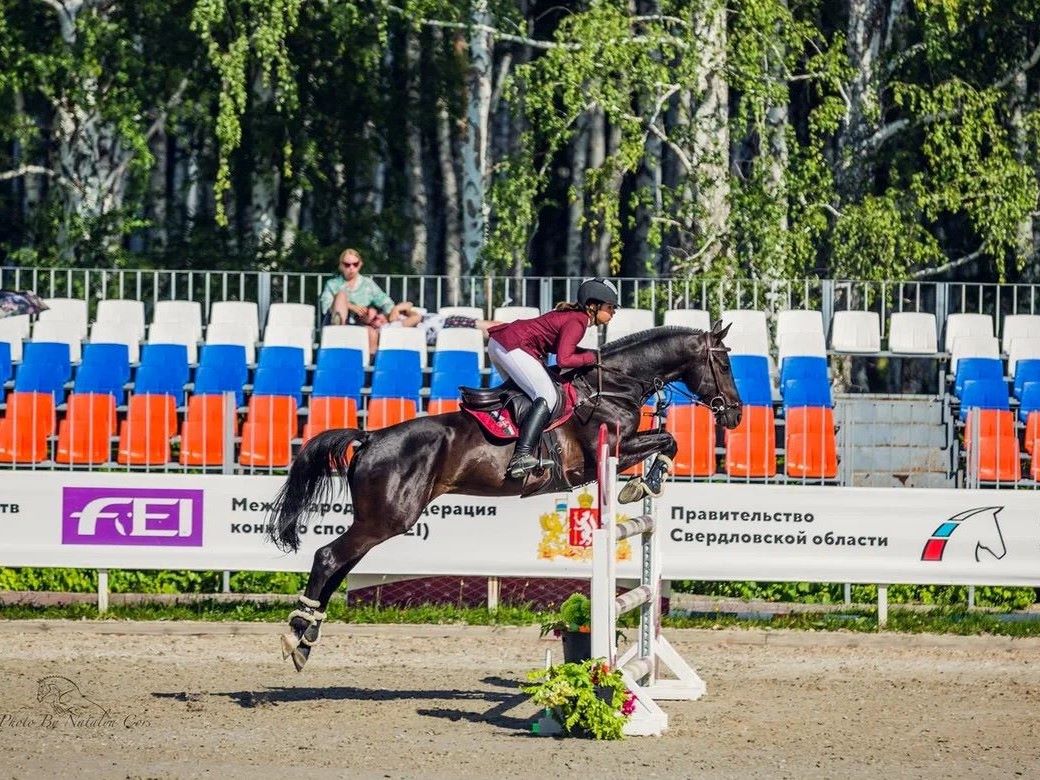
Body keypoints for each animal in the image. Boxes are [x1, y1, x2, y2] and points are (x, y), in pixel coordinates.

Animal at [268, 320, 740, 669]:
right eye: (723, 362)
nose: (734, 415)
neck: (613, 385)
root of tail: (370, 438)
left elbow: (666, 439)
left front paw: (647, 481)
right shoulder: (608, 452)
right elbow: (667, 439)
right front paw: (644, 482)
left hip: (378, 521)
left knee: (340, 563)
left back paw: (307, 635)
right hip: (386, 519)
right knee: (329, 557)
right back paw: (297, 635)